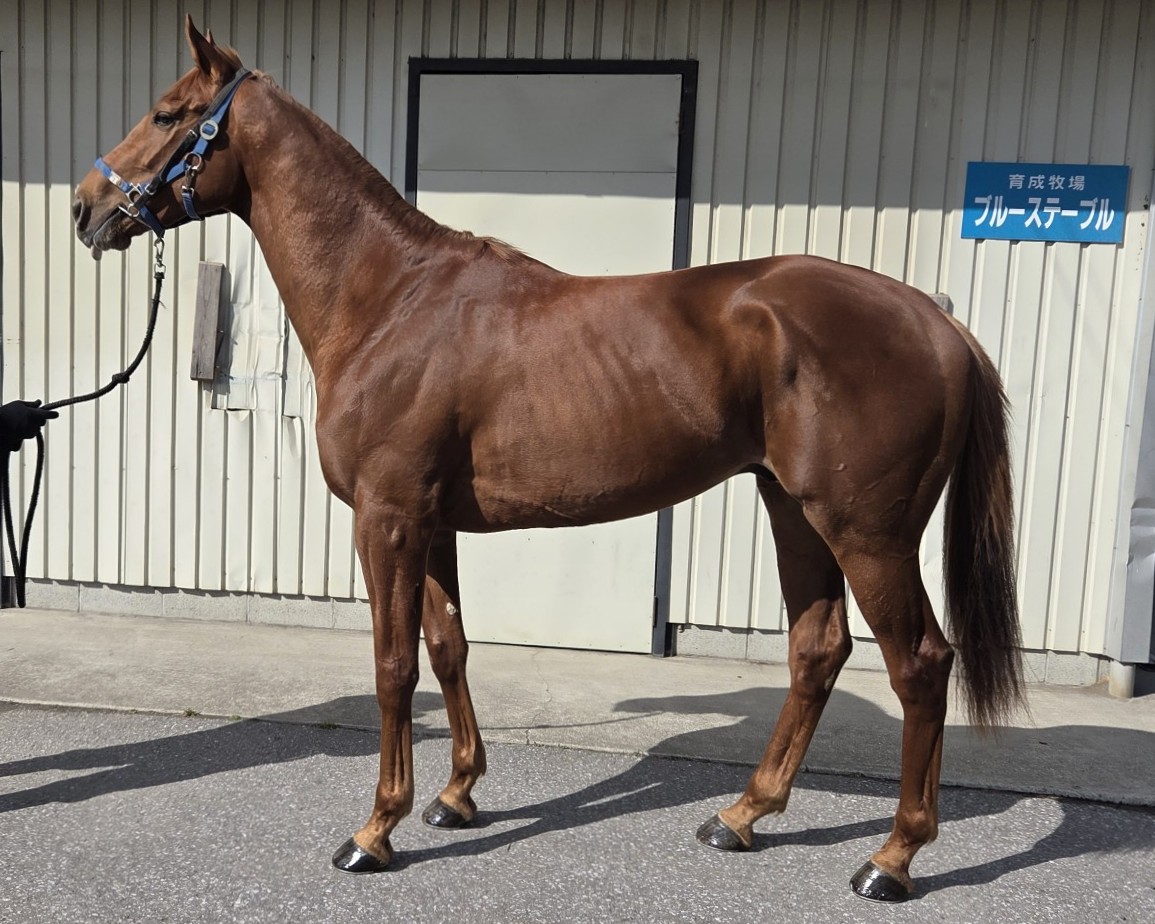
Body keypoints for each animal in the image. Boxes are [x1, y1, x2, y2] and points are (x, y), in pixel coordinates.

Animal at [72, 16, 1023, 903]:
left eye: (168, 114)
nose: (85, 207)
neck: (388, 300)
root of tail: (934, 322)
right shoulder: (431, 525)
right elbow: (448, 646)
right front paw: (456, 795)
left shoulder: (387, 518)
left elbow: (392, 667)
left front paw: (376, 830)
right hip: (793, 509)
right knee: (816, 649)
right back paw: (743, 814)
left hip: (867, 533)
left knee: (918, 664)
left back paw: (891, 857)